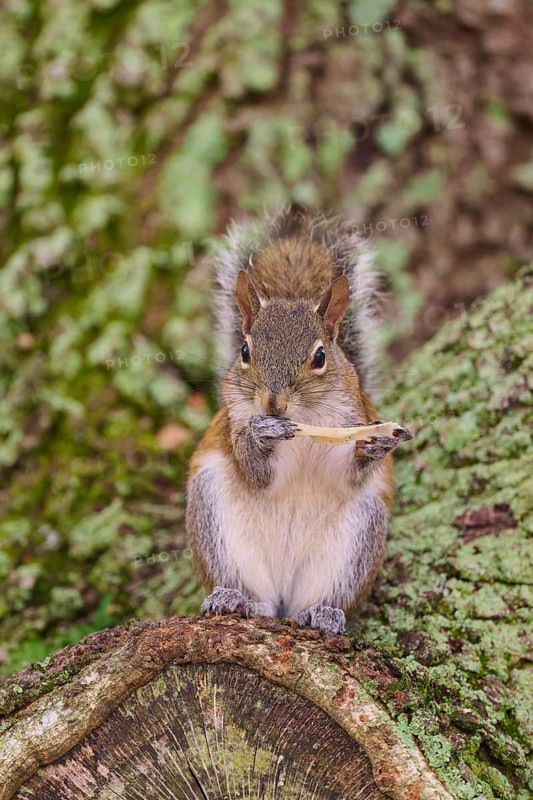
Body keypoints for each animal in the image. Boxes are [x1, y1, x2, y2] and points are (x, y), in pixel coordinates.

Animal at [186, 208, 412, 635]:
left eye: (320, 356)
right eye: (245, 351)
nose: (273, 404)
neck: (303, 420)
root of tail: (283, 600)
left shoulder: (351, 417)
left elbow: (347, 473)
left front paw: (372, 446)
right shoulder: (234, 420)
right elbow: (256, 473)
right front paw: (262, 437)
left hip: (356, 540)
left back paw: (321, 613)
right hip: (218, 525)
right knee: (253, 595)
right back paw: (236, 600)